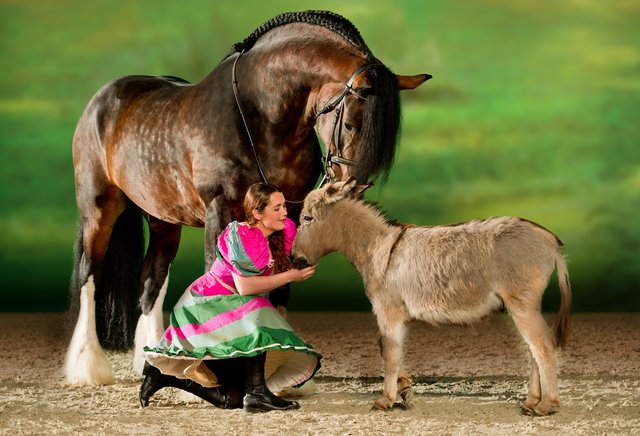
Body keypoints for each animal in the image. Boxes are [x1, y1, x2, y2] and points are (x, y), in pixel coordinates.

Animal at [64, 10, 430, 386]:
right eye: (352, 124)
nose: (349, 189)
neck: (263, 119)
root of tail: (102, 98)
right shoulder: (220, 209)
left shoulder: (288, 212)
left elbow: (279, 286)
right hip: (99, 208)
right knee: (90, 275)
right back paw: (88, 369)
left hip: (163, 219)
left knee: (152, 279)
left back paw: (153, 362)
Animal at [290, 178, 572, 416]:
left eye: (307, 218)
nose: (294, 259)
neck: (378, 247)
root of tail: (550, 240)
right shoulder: (398, 316)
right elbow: (388, 349)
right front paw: (404, 390)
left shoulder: (388, 312)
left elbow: (389, 353)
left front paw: (386, 400)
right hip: (520, 307)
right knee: (533, 350)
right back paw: (531, 402)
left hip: (522, 305)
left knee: (543, 347)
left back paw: (547, 405)